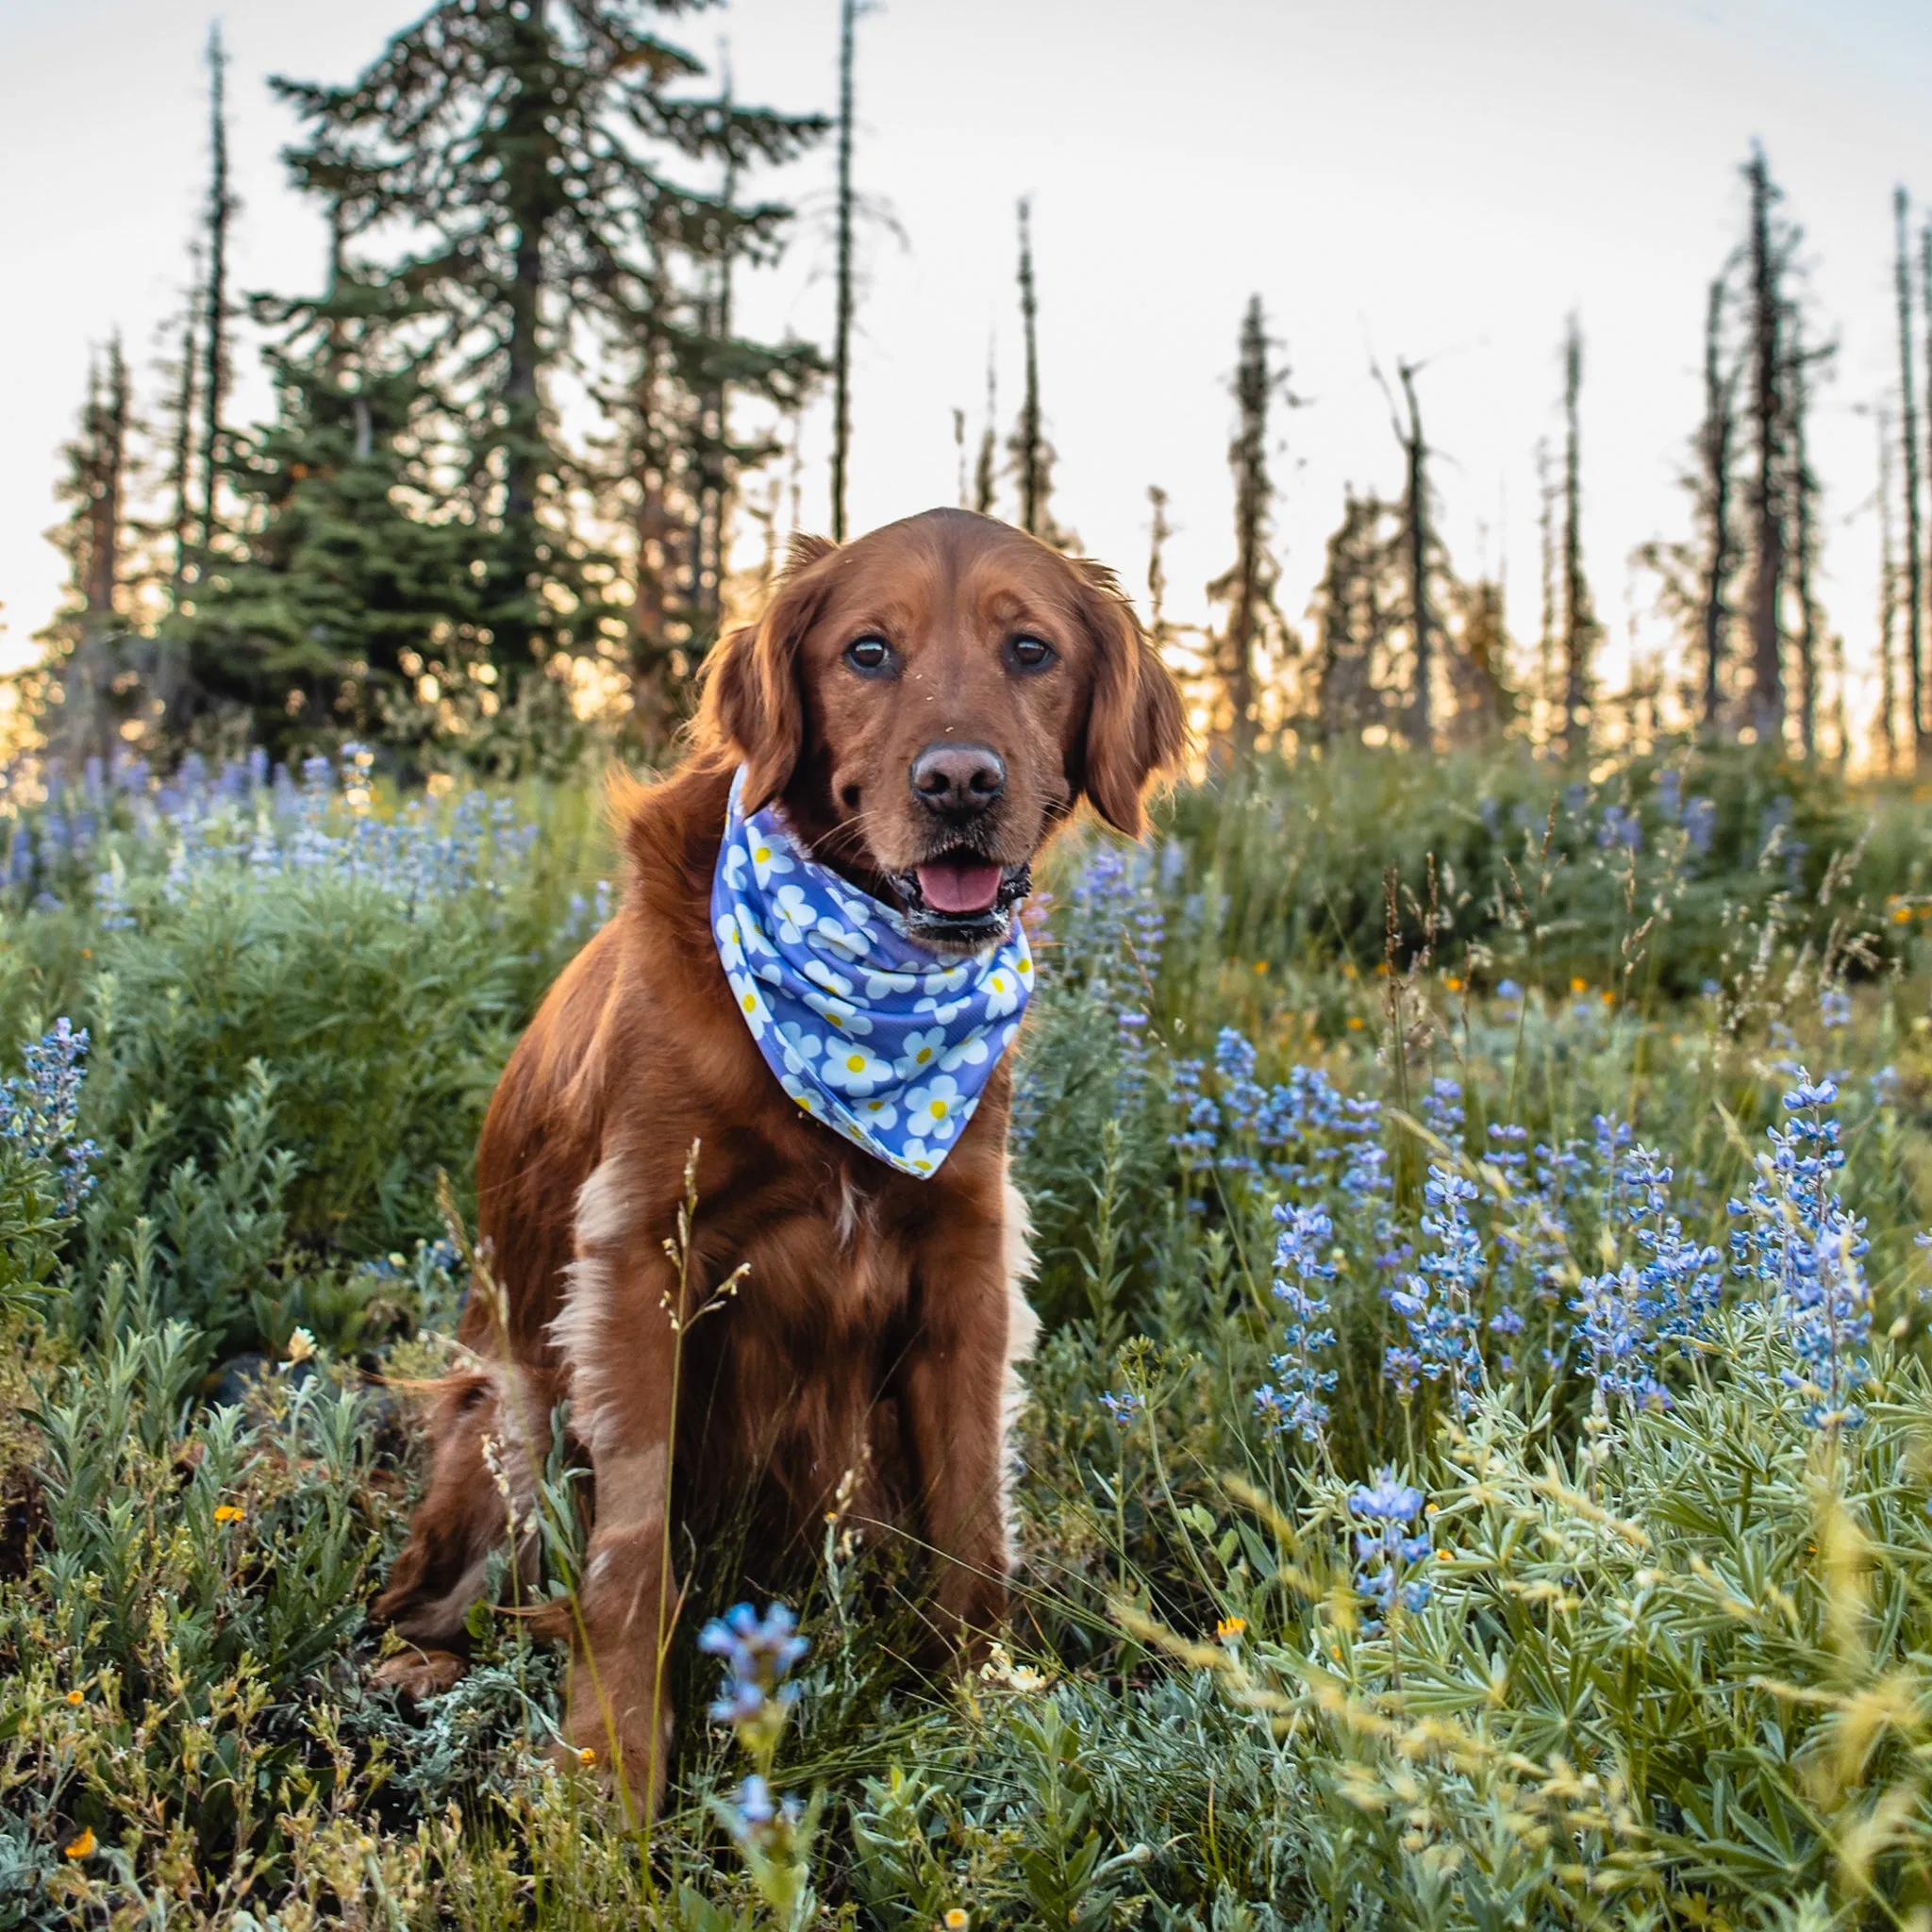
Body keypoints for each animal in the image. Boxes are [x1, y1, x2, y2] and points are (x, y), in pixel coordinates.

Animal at [375, 509, 1182, 1792]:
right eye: (865, 652)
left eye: (1029, 650)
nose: (958, 782)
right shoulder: (637, 1258)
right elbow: (632, 1548)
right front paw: (611, 1779)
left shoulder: (967, 1256)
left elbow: (974, 1520)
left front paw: (977, 1721)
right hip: (507, 1402)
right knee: (432, 1591)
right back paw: (418, 1664)